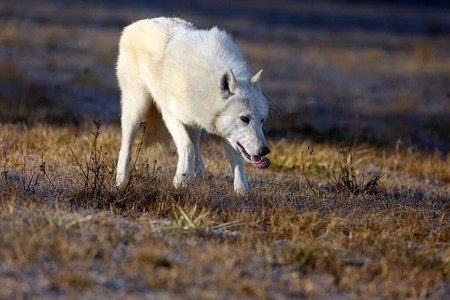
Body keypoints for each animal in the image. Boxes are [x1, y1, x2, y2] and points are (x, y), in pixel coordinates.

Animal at [116, 17, 270, 193]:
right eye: (244, 118)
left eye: (262, 120)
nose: (265, 151)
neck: (205, 87)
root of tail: (134, 25)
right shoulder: (169, 115)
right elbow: (186, 146)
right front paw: (181, 180)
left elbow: (236, 157)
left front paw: (242, 191)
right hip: (136, 109)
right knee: (125, 147)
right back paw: (121, 182)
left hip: (193, 125)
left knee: (196, 145)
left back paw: (202, 177)